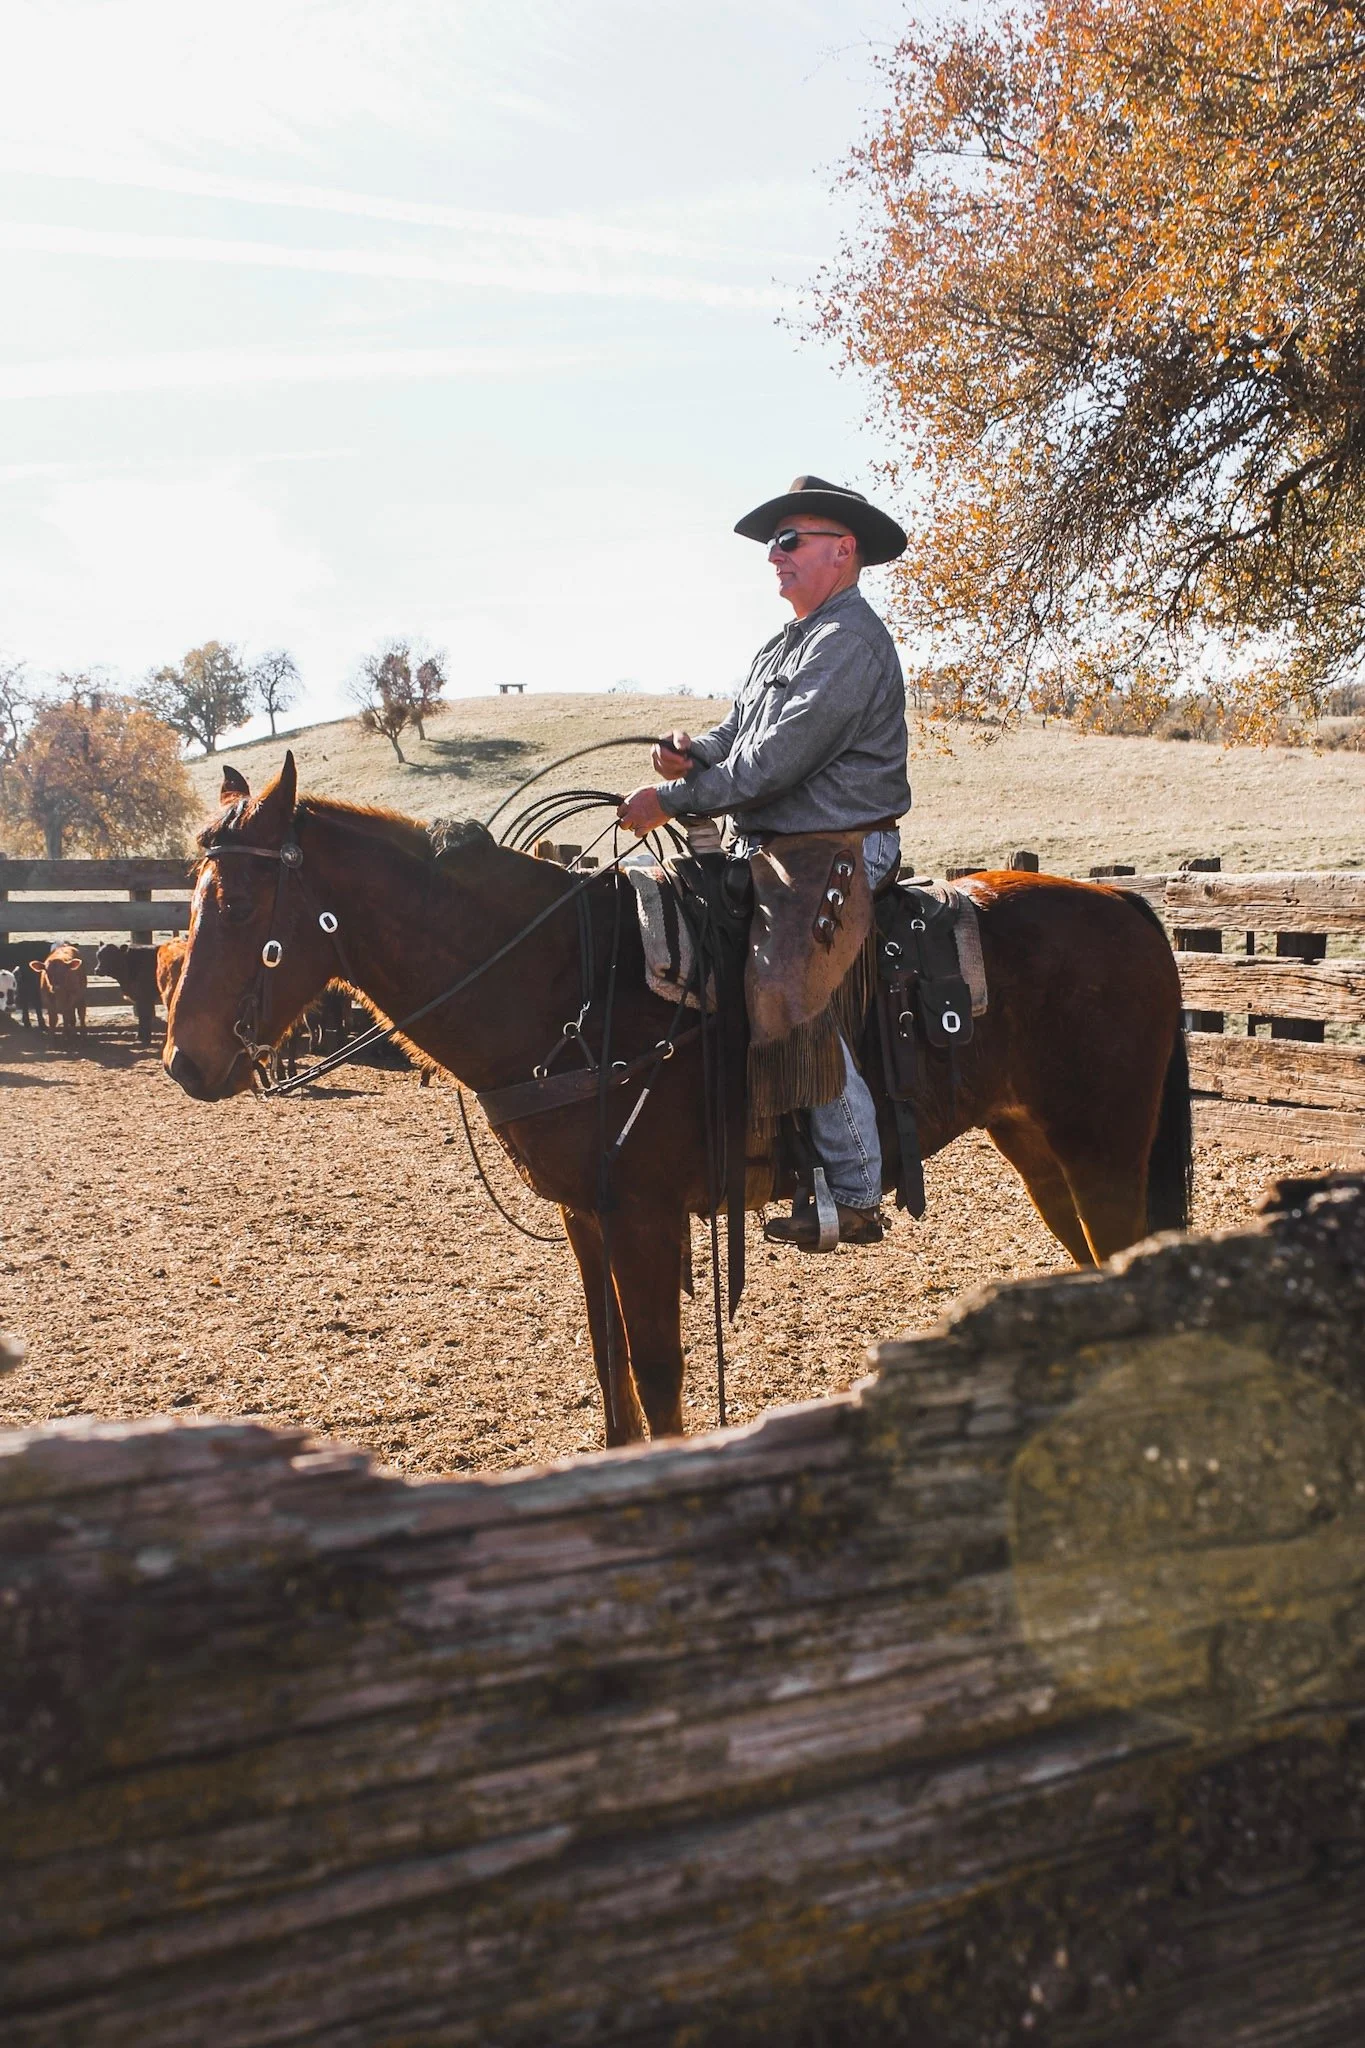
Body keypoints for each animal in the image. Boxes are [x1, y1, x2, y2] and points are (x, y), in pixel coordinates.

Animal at [164, 753, 1192, 1447]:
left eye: (241, 906)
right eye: (192, 899)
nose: (184, 1061)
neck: (568, 981)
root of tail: (1127, 908)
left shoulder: (646, 1217)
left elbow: (657, 1375)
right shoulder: (588, 1218)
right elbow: (610, 1365)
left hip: (1100, 1151)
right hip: (1042, 1150)